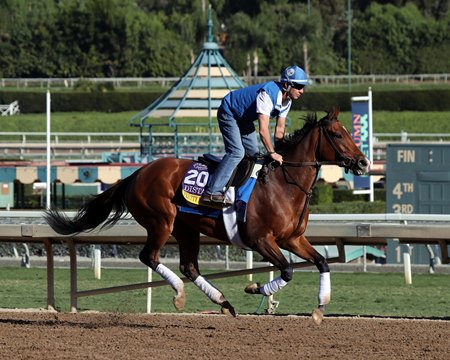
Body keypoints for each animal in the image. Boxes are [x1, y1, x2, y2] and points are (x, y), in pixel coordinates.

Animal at [44, 108, 370, 324]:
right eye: (338, 134)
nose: (363, 162)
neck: (283, 182)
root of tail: (136, 173)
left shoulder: (292, 239)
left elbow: (322, 262)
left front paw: (319, 308)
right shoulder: (261, 239)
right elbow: (287, 271)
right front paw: (254, 287)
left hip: (187, 229)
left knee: (189, 266)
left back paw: (223, 303)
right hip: (162, 221)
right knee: (150, 256)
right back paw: (179, 294)